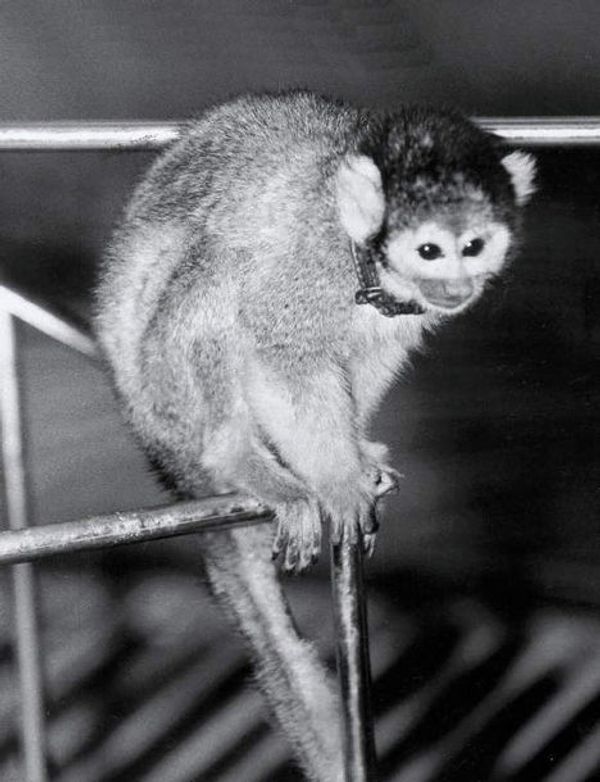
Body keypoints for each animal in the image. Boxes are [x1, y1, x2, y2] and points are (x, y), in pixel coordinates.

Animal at [94, 90, 536, 781]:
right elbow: (281, 356)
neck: (366, 259)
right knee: (219, 267)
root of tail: (161, 452)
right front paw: (337, 478)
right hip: (164, 395)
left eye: (474, 245)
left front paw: (357, 453)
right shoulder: (309, 264)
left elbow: (369, 356)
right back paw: (238, 458)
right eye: (430, 251)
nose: (456, 287)